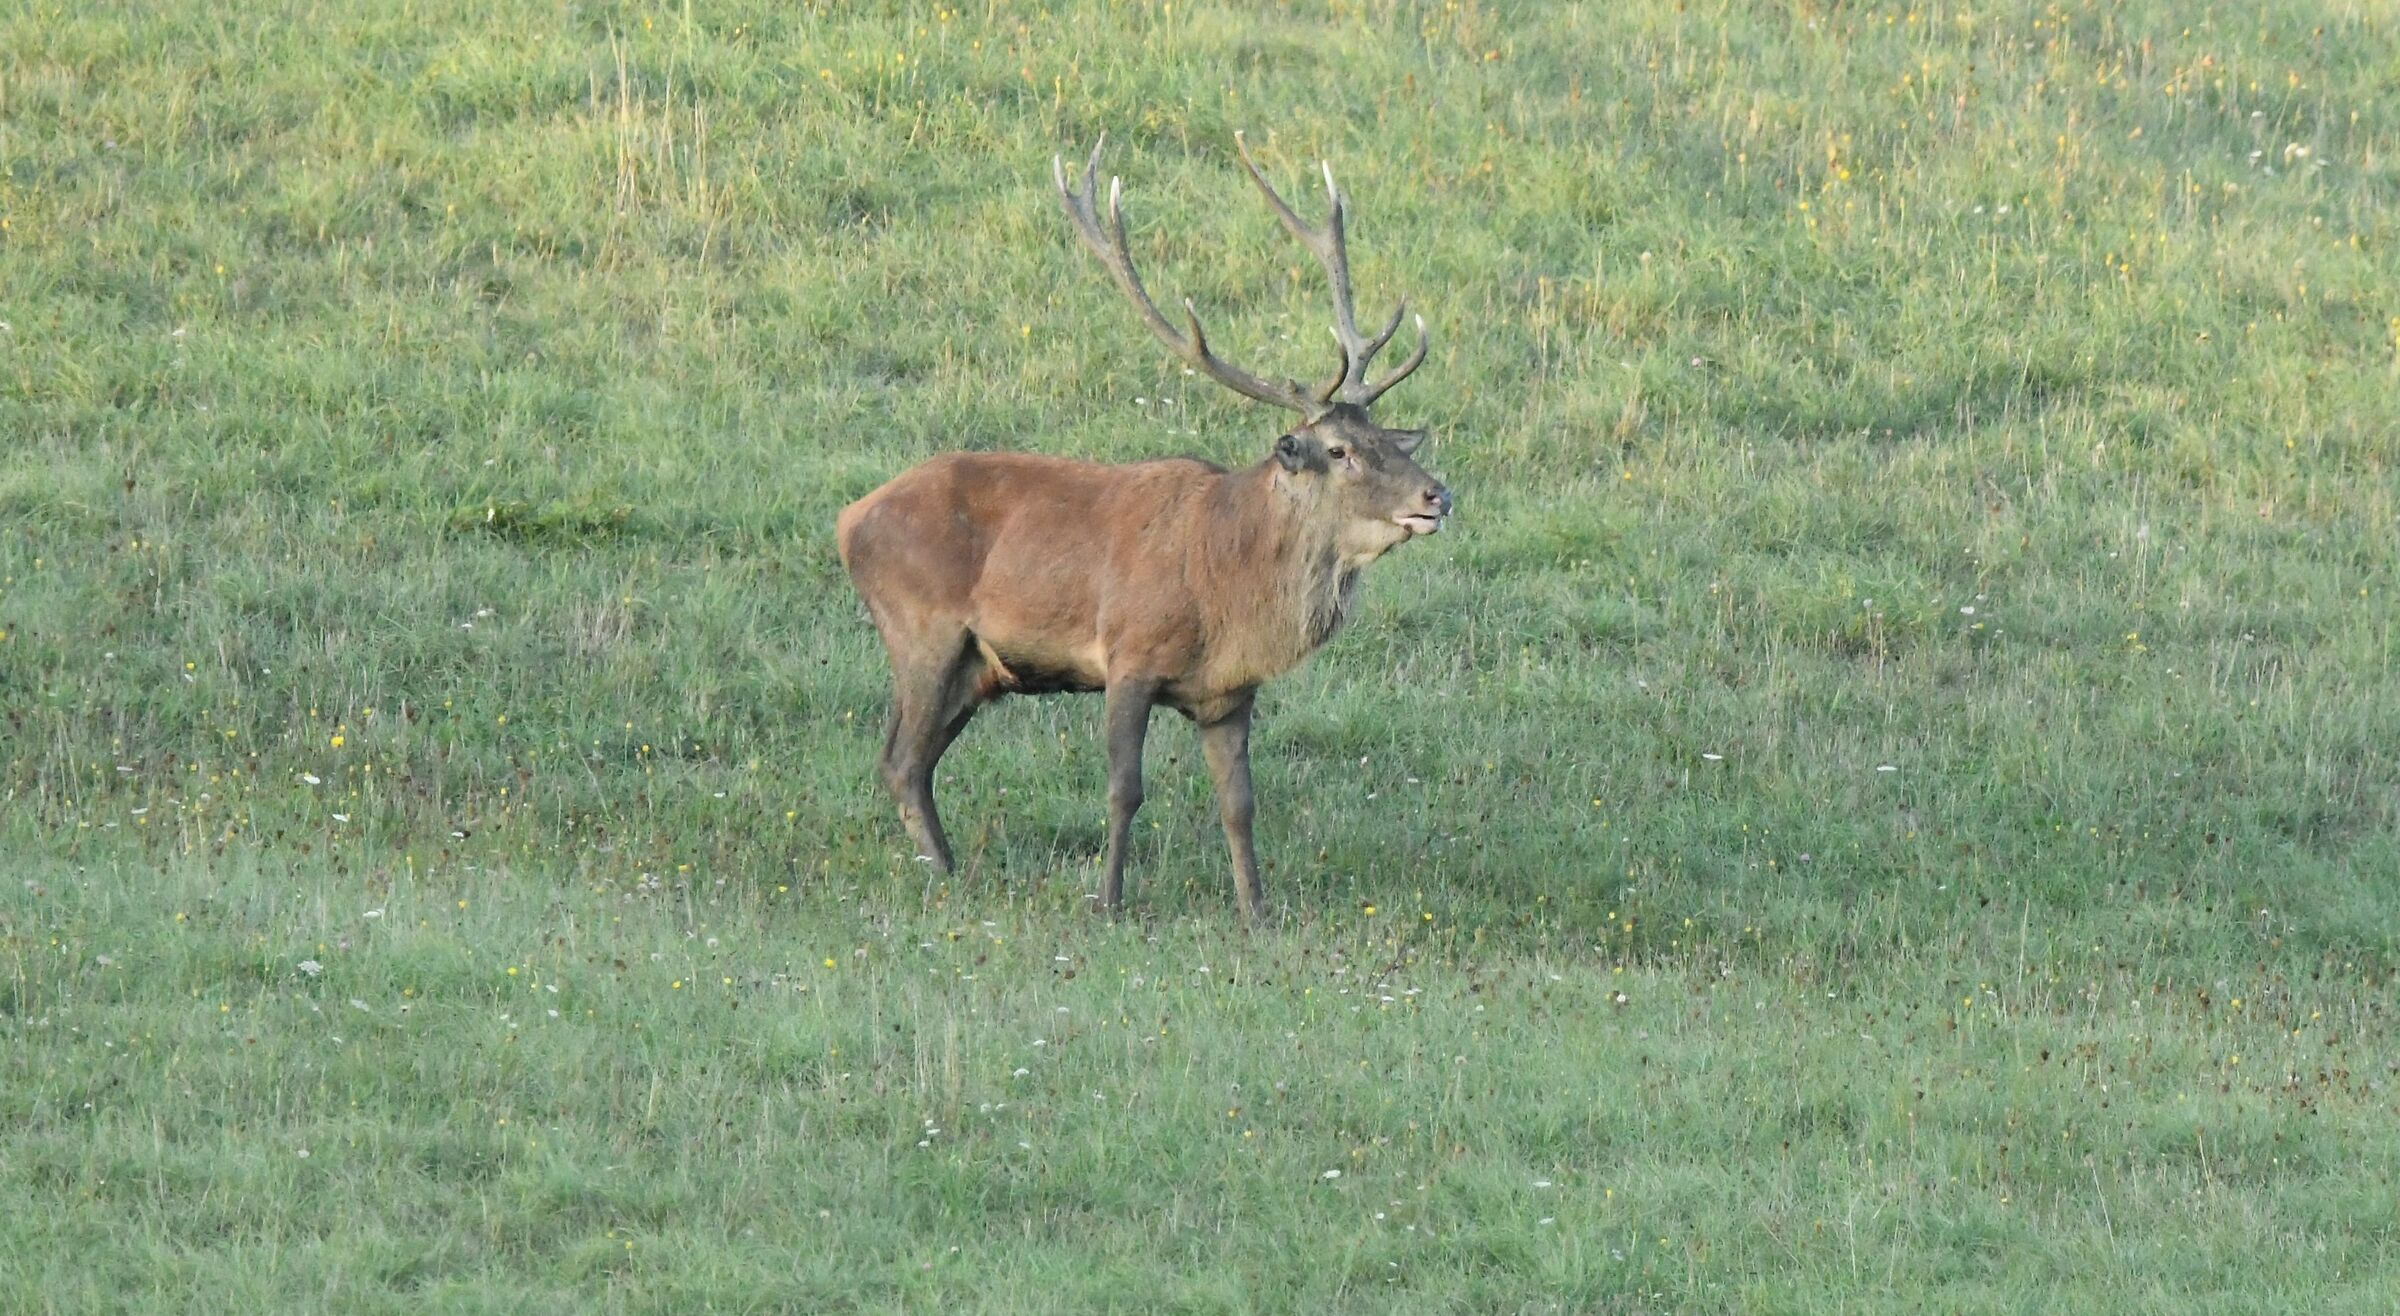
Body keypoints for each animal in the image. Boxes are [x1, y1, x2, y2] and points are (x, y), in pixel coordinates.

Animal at [835, 133, 1452, 921]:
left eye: (1387, 439)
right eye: (1339, 450)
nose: (1437, 494)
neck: (1226, 591)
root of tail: (849, 519)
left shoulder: (1229, 696)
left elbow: (1240, 804)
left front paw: (1257, 912)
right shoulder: (1128, 656)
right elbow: (1124, 790)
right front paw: (1109, 901)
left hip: (978, 668)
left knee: (912, 758)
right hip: (922, 630)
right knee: (902, 761)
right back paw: (945, 876)